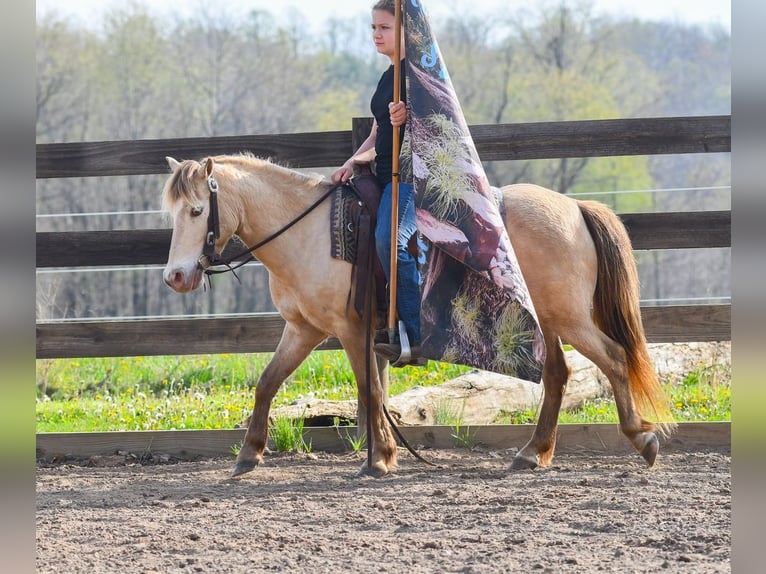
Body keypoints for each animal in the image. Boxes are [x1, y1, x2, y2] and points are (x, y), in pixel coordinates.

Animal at [161, 153, 674, 478]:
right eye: (174, 214)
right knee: (559, 374)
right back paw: (532, 454)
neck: (306, 232)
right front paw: (248, 454)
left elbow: (370, 390)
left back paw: (641, 440)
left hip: (569, 318)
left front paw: (380, 457)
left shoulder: (350, 329)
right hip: (547, 321)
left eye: (197, 210)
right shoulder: (303, 328)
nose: (176, 277)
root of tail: (575, 207)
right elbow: (268, 382)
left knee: (613, 358)